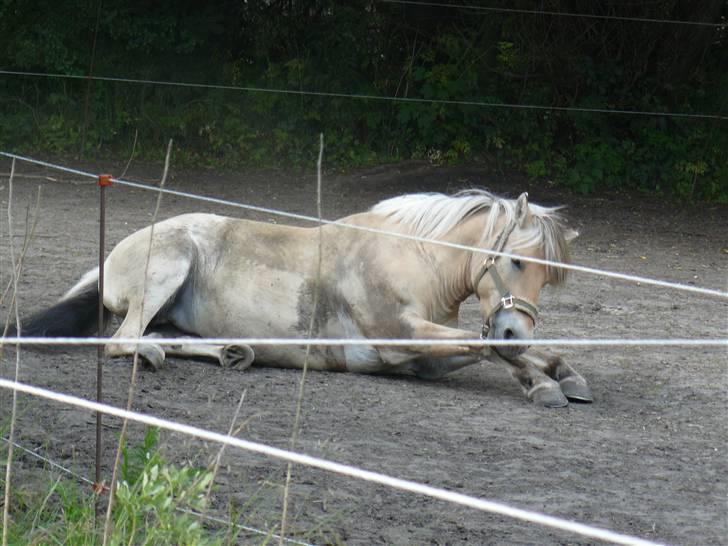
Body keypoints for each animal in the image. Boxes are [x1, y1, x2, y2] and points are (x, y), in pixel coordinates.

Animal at [19, 189, 596, 406]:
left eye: (548, 279)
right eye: (516, 262)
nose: (515, 326)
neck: (411, 258)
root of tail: (111, 258)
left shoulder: (424, 359)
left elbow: (490, 348)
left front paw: (563, 375)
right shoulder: (398, 340)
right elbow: (486, 346)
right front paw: (545, 385)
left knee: (162, 336)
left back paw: (233, 352)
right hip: (168, 266)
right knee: (123, 340)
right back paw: (161, 355)